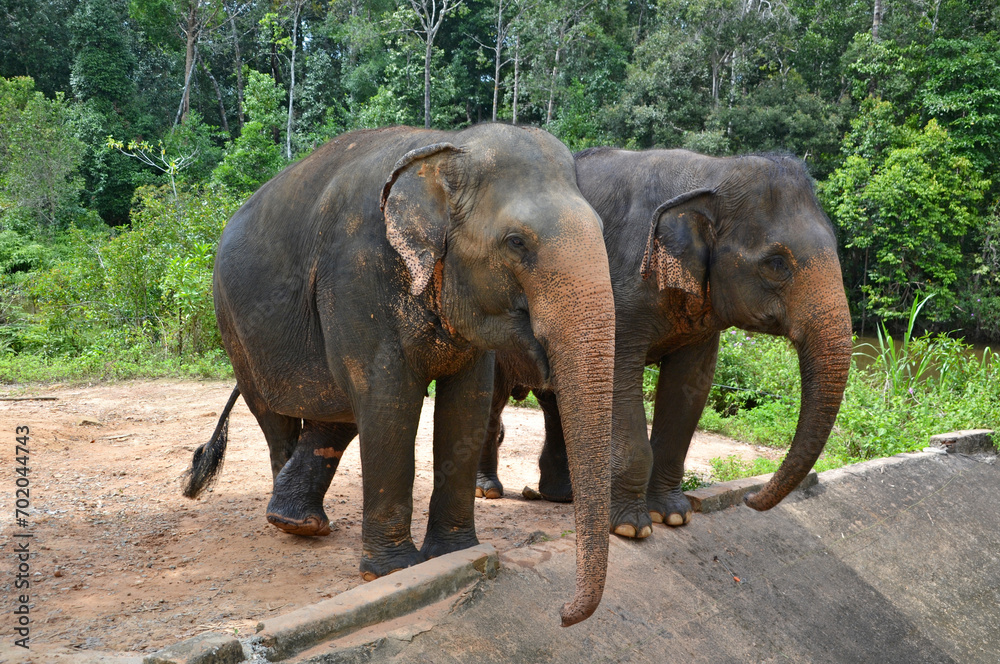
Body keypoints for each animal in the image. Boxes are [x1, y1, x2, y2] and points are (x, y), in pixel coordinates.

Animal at [182, 124, 616, 627]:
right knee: (279, 418)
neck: (446, 149)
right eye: (516, 242)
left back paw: (301, 521)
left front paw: (455, 556)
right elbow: (389, 398)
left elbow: (467, 403)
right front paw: (392, 572)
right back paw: (293, 524)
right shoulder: (357, 272)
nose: (562, 615)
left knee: (338, 413)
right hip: (236, 330)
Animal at [476, 147, 852, 540]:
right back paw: (489, 490)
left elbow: (690, 385)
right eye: (776, 263)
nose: (750, 499)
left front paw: (673, 516)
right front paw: (630, 527)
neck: (712, 172)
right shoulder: (619, 288)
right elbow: (618, 377)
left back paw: (562, 496)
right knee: (494, 400)